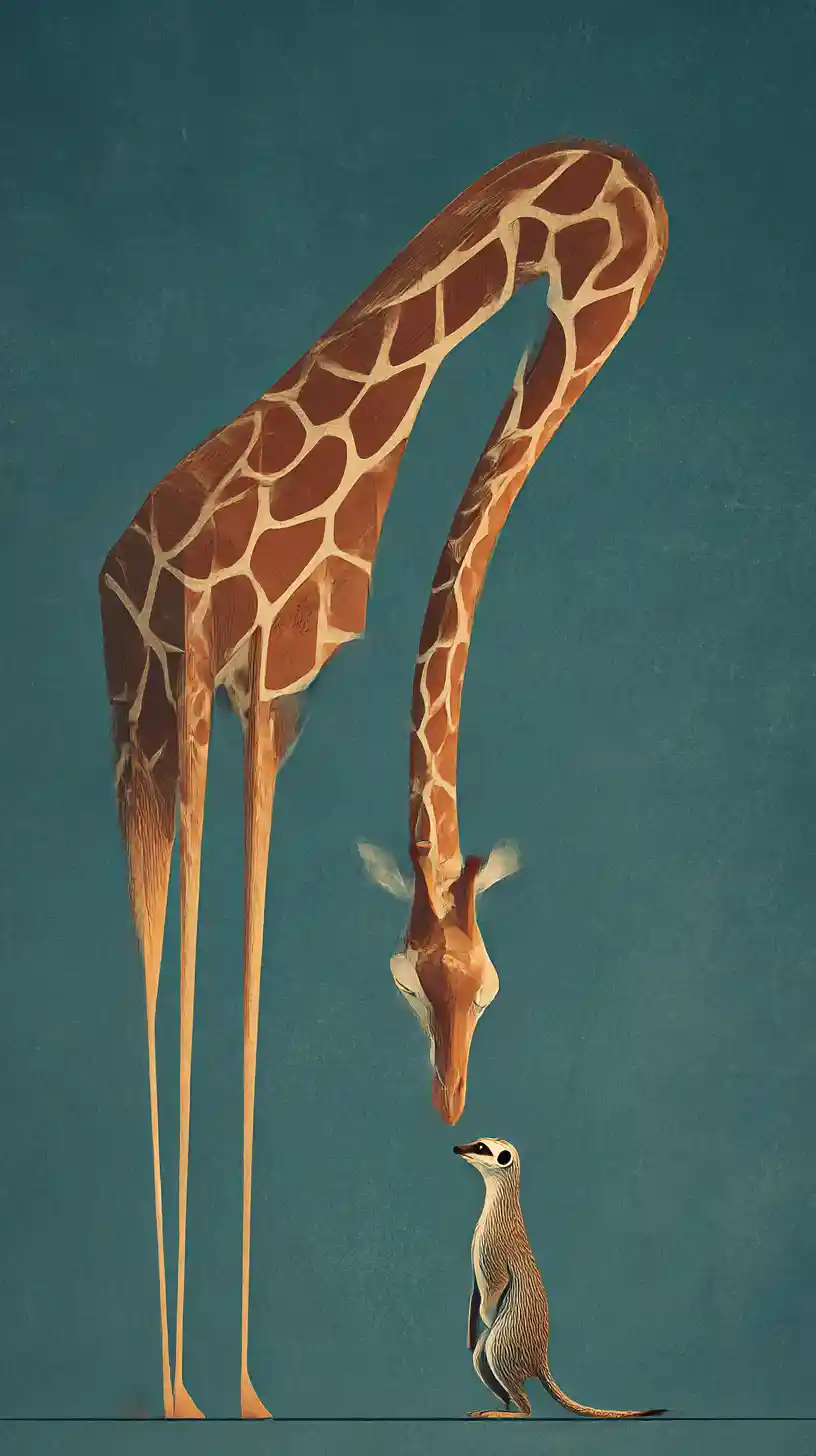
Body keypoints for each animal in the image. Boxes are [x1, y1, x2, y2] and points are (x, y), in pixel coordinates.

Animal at [99, 137, 667, 1420]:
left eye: (491, 987)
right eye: (407, 983)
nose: (453, 1108)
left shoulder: (280, 696)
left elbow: (250, 995)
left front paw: (247, 1387)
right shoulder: (213, 679)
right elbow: (205, 990)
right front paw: (200, 1391)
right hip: (142, 723)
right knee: (154, 948)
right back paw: (165, 1386)